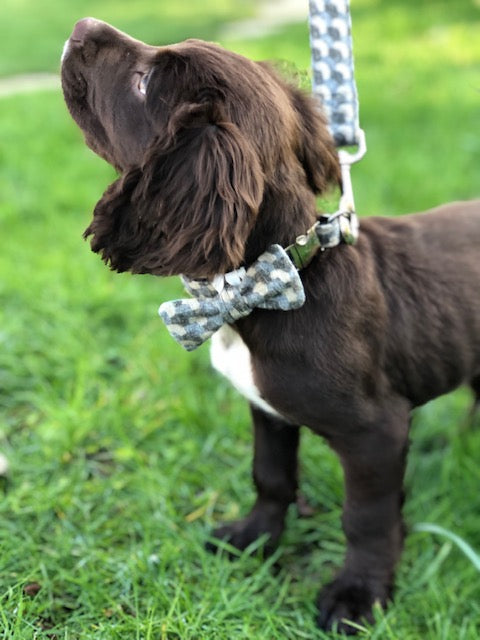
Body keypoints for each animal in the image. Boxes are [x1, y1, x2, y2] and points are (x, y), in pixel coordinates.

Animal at [61, 17, 480, 632]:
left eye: (143, 82)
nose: (81, 25)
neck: (272, 284)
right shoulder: (267, 411)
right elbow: (271, 475)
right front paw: (255, 538)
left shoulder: (376, 433)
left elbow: (367, 518)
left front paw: (359, 593)